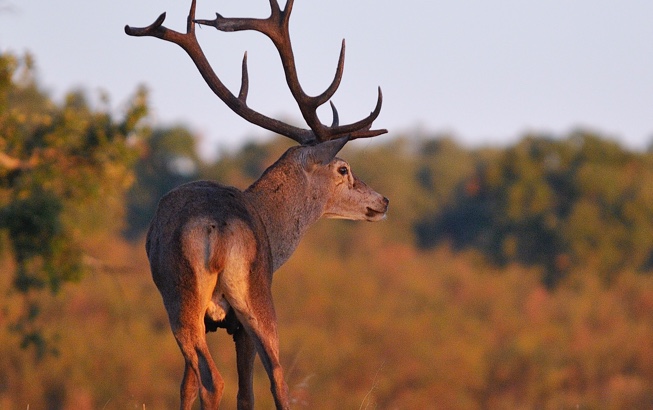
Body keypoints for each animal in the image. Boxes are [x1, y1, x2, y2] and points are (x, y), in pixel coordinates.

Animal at [126, 1, 388, 408]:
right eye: (343, 169)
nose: (383, 200)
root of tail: (219, 228)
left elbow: (196, 387)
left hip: (190, 299)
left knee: (226, 380)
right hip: (241, 297)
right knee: (264, 381)